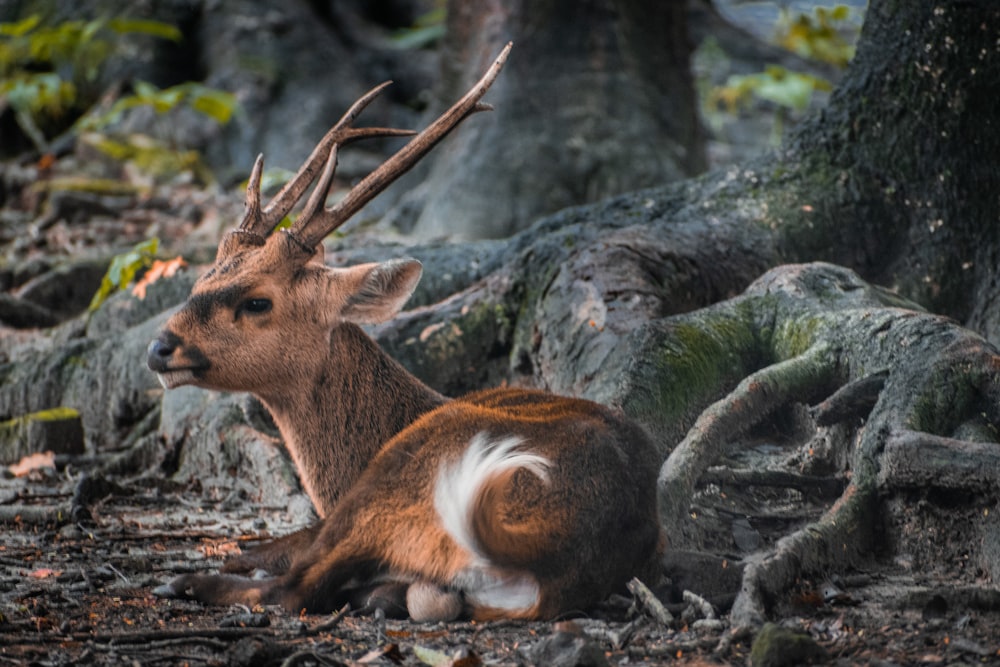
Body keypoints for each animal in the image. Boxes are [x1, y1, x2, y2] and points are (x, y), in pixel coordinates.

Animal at [146, 45, 664, 620]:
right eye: (199, 280)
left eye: (257, 301)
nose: (159, 347)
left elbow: (264, 551)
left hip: (407, 471)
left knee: (295, 589)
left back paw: (183, 582)